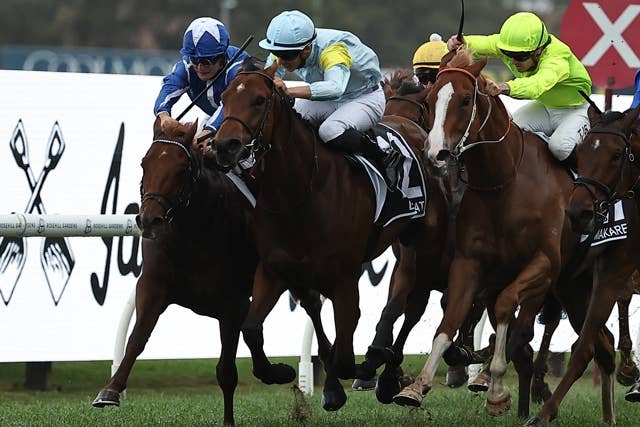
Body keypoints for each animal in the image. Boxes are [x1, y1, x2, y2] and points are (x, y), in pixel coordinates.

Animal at [92, 117, 308, 426]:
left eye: (181, 168)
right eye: (145, 163)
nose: (149, 220)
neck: (194, 230)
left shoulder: (232, 303)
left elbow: (227, 369)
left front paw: (230, 419)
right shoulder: (153, 286)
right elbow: (137, 338)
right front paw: (110, 390)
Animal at [212, 60, 451, 412]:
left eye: (258, 100)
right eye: (224, 97)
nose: (223, 146)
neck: (300, 192)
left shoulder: (344, 278)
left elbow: (347, 351)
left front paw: (364, 368)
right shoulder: (275, 270)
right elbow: (252, 329)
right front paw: (280, 372)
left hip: (425, 246)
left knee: (414, 305)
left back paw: (389, 373)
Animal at [392, 48, 616, 420]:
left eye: (465, 100)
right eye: (430, 98)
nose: (435, 154)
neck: (505, 183)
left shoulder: (543, 265)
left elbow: (505, 308)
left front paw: (494, 386)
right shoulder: (468, 263)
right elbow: (448, 322)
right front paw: (416, 386)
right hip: (574, 287)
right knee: (604, 345)